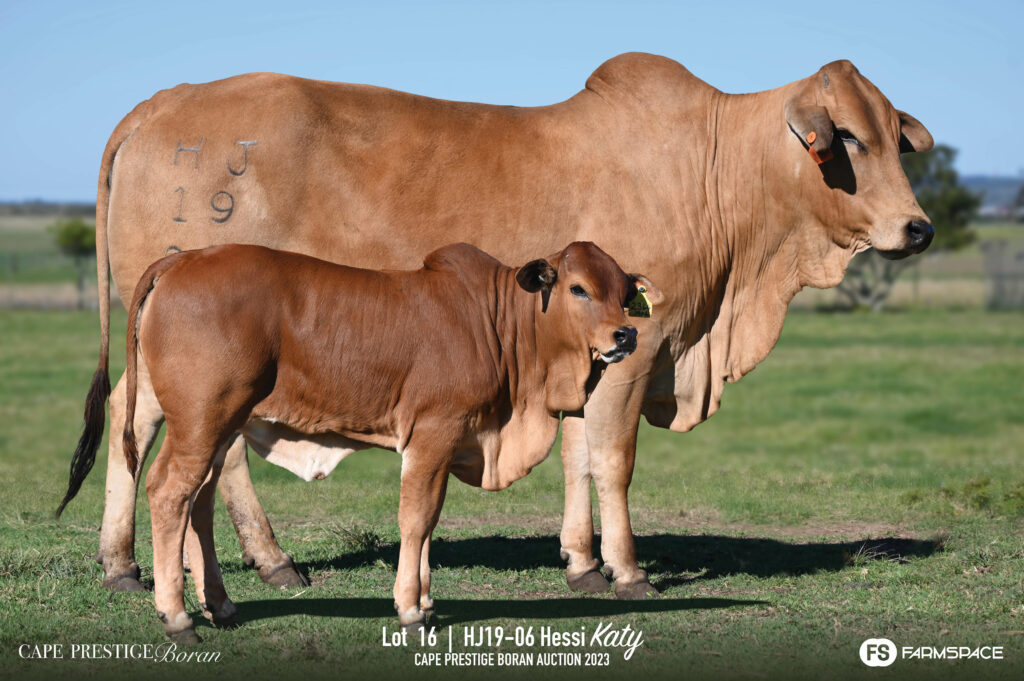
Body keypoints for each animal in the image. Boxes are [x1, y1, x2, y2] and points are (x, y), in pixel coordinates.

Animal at [59, 53, 934, 600]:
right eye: (848, 138)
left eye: (896, 137)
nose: (918, 228)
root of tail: (162, 102)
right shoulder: (637, 349)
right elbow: (612, 462)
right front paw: (627, 569)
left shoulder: (587, 358)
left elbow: (577, 456)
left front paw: (581, 561)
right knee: (195, 444)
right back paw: (249, 561)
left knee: (138, 421)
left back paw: (130, 563)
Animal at [116, 241, 656, 641]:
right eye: (578, 288)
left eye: (624, 293)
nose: (625, 336)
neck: (500, 327)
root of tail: (182, 259)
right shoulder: (433, 432)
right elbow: (415, 519)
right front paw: (410, 608)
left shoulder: (445, 443)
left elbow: (430, 520)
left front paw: (425, 599)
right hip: (200, 423)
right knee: (169, 491)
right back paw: (176, 617)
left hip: (220, 427)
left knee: (200, 503)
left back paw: (221, 605)